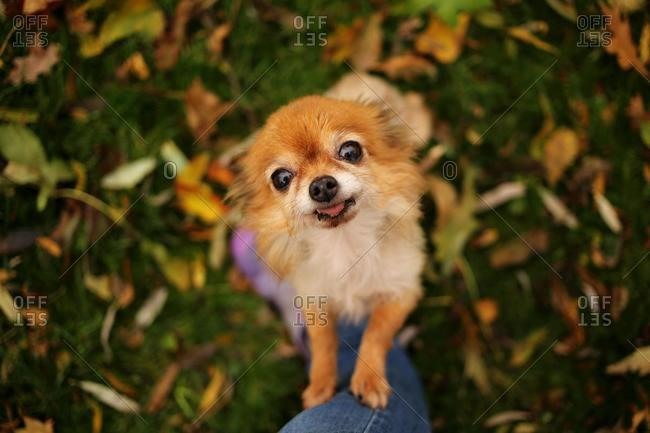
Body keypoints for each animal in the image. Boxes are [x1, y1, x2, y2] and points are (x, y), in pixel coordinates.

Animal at [233, 95, 426, 408]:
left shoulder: (401, 293)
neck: (345, 243)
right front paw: (320, 386)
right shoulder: (313, 300)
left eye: (350, 151)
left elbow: (376, 333)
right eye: (281, 178)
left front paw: (369, 380)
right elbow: (323, 343)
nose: (321, 185)